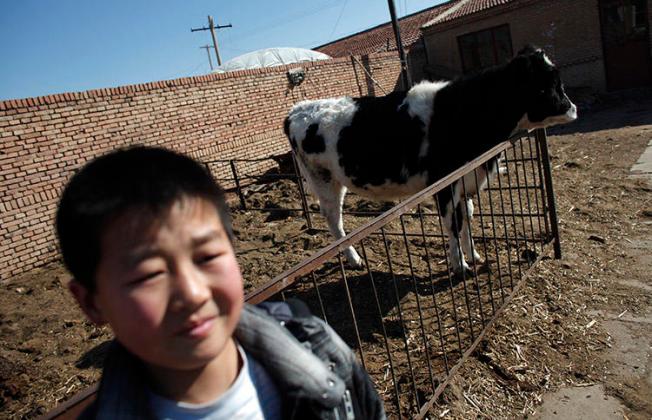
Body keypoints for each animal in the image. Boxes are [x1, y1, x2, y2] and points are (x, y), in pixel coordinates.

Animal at [282, 46, 580, 276]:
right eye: (549, 85)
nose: (574, 108)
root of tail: (297, 110)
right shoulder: (444, 182)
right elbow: (453, 223)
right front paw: (460, 266)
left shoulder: (465, 179)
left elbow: (467, 216)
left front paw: (473, 255)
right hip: (324, 181)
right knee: (334, 220)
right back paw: (354, 259)